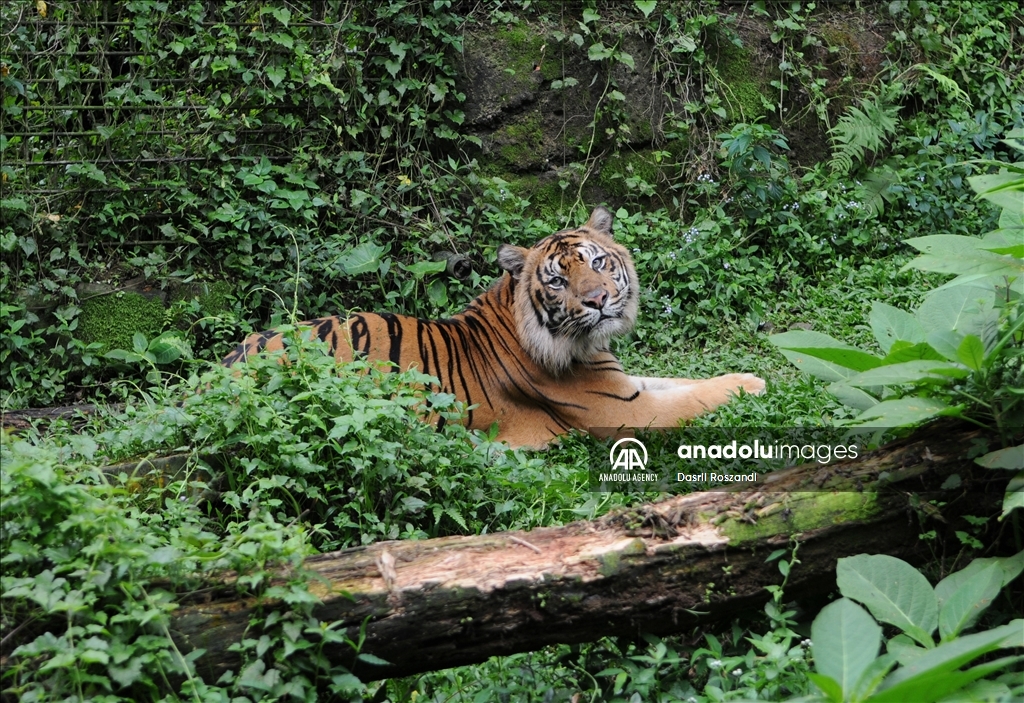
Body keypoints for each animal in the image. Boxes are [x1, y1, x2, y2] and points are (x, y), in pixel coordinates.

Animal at [224, 206, 770, 448]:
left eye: (598, 262)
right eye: (558, 280)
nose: (598, 301)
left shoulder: (626, 384)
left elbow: (683, 382)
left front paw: (746, 375)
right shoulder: (626, 412)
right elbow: (694, 398)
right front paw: (756, 383)